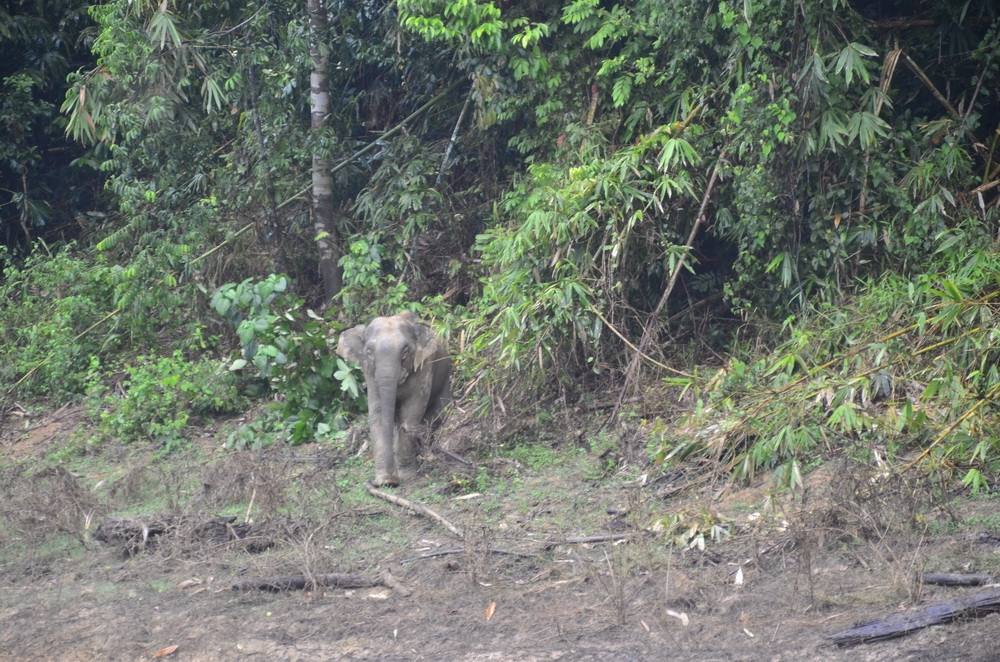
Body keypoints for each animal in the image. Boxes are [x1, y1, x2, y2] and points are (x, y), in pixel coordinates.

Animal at [336, 312, 450, 488]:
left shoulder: (425, 366)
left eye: (405, 351)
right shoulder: (370, 374)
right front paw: (385, 481)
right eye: (369, 351)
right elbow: (378, 414)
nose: (391, 482)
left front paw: (407, 476)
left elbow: (412, 412)